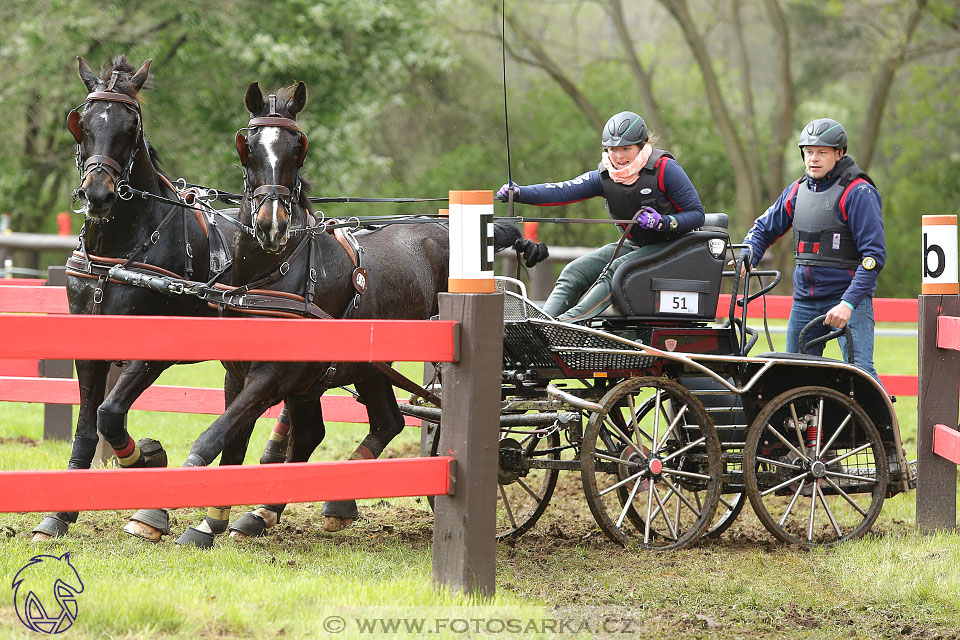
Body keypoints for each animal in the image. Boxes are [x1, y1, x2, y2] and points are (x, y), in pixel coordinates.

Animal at [124, 82, 528, 548]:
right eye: (248, 147)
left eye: (298, 148)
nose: (272, 225)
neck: (269, 273)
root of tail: (444, 228)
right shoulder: (238, 373)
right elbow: (233, 442)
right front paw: (209, 521)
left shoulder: (271, 375)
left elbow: (213, 436)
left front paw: (169, 503)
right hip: (366, 367)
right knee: (381, 423)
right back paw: (289, 508)